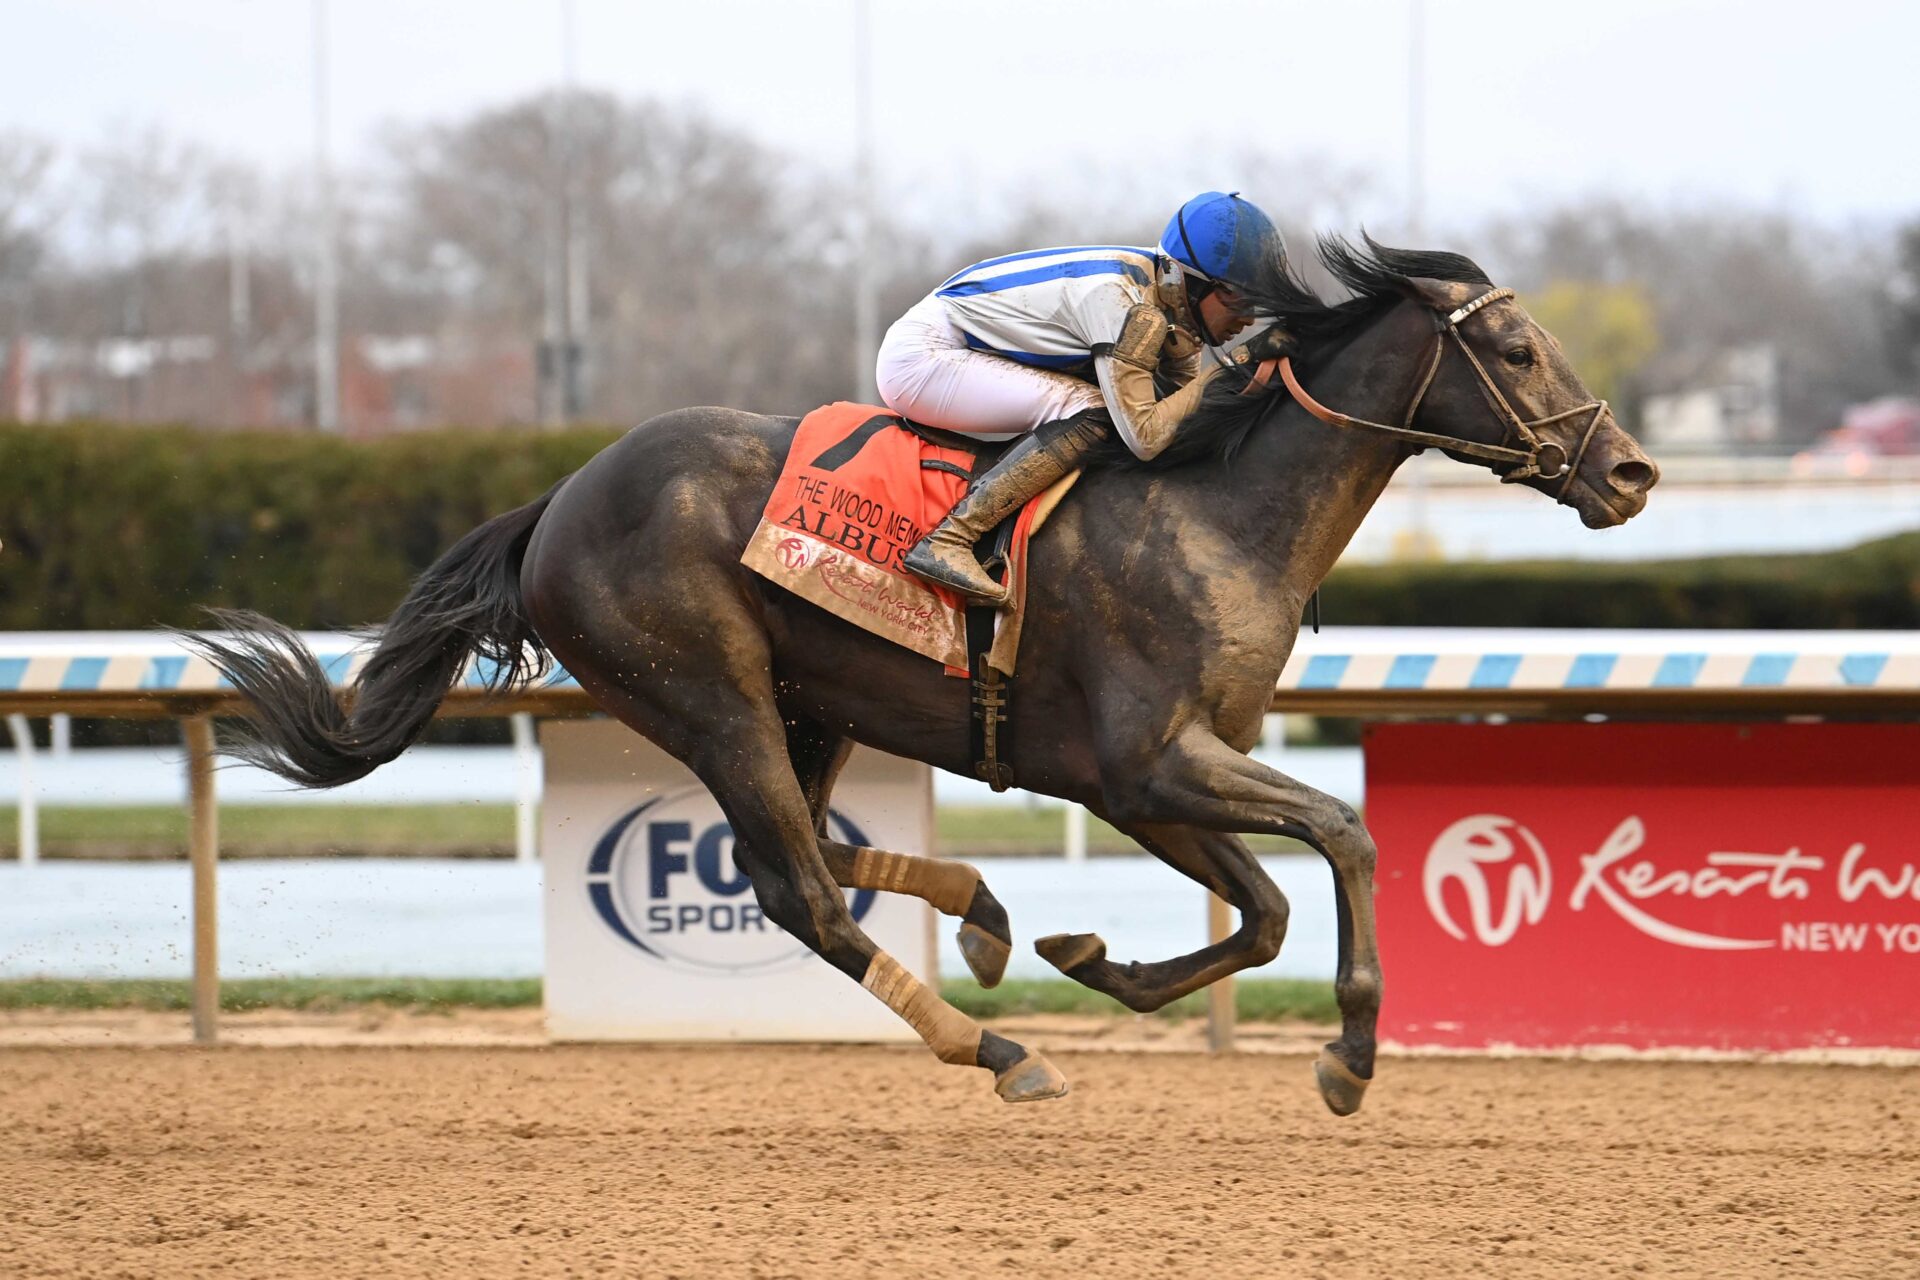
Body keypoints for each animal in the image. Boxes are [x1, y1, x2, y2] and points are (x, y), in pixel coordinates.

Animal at [191, 237, 1658, 1113]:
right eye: (1516, 351)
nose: (1632, 470)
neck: (1217, 510)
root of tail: (559, 499)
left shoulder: (1141, 781)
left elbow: (1262, 913)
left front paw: (1094, 956)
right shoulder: (1151, 761)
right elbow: (1342, 835)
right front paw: (1350, 1051)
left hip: (809, 704)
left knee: (799, 861)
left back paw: (989, 918)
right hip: (708, 691)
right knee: (795, 887)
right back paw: (996, 1046)